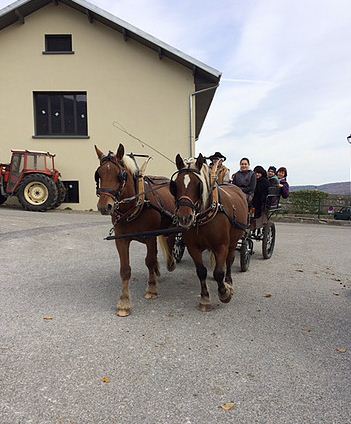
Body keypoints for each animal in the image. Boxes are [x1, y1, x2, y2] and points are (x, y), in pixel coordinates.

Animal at [95, 144, 176, 316]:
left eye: (121, 175)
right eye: (98, 174)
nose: (105, 206)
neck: (135, 205)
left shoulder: (150, 237)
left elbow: (149, 261)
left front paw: (151, 289)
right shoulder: (121, 240)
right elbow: (125, 269)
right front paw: (124, 302)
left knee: (170, 241)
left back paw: (170, 263)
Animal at [170, 154, 248, 310]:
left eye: (198, 185)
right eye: (175, 185)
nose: (184, 218)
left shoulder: (221, 246)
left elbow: (219, 272)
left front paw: (224, 293)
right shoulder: (193, 247)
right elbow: (201, 271)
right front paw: (205, 297)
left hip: (234, 240)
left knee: (229, 260)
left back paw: (228, 281)